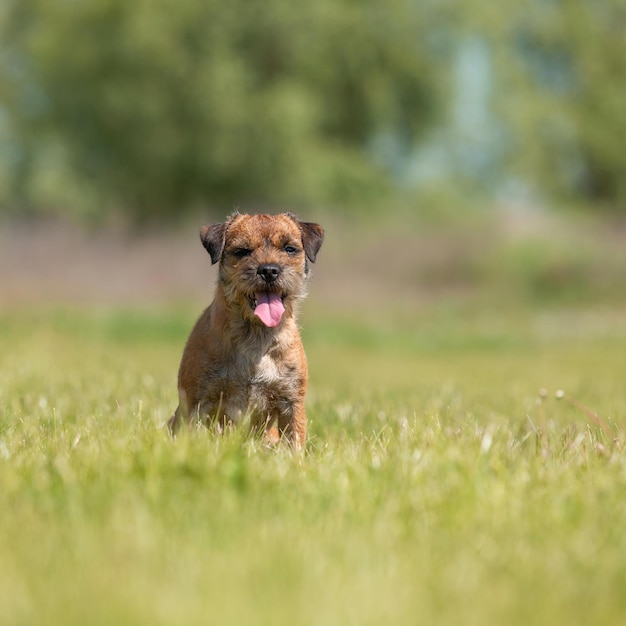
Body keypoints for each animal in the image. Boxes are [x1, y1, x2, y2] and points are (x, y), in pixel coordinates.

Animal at [168, 212, 324, 446]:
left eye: (289, 249)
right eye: (242, 251)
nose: (269, 270)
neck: (256, 336)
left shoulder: (292, 401)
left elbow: (294, 441)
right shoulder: (196, 403)